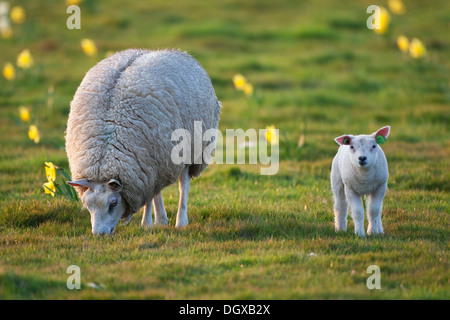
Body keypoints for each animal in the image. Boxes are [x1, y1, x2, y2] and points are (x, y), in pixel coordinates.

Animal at [65, 49, 221, 235]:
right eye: (87, 204)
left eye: (113, 203)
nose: (99, 234)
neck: (105, 154)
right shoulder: (145, 167)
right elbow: (150, 195)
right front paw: (152, 221)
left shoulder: (143, 167)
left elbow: (150, 197)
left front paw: (146, 224)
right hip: (159, 162)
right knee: (157, 190)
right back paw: (161, 219)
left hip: (189, 150)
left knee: (183, 185)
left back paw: (180, 221)